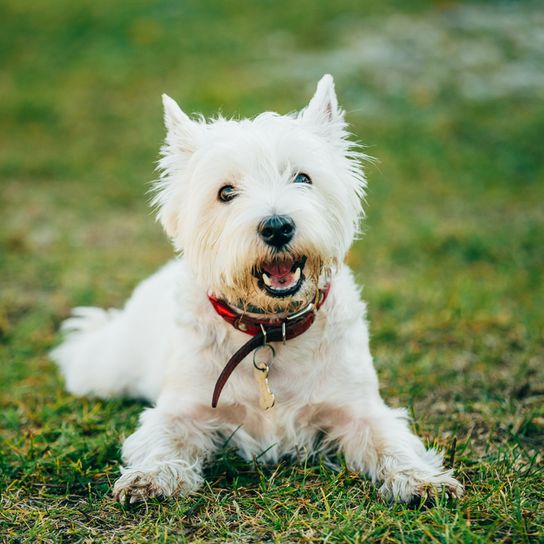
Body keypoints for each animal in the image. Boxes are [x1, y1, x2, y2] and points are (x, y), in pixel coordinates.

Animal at [50, 74, 464, 504]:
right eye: (226, 192)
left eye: (302, 177)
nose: (277, 226)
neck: (270, 329)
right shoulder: (184, 408)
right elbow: (164, 438)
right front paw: (150, 477)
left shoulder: (357, 407)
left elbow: (390, 441)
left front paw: (423, 479)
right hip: (108, 366)